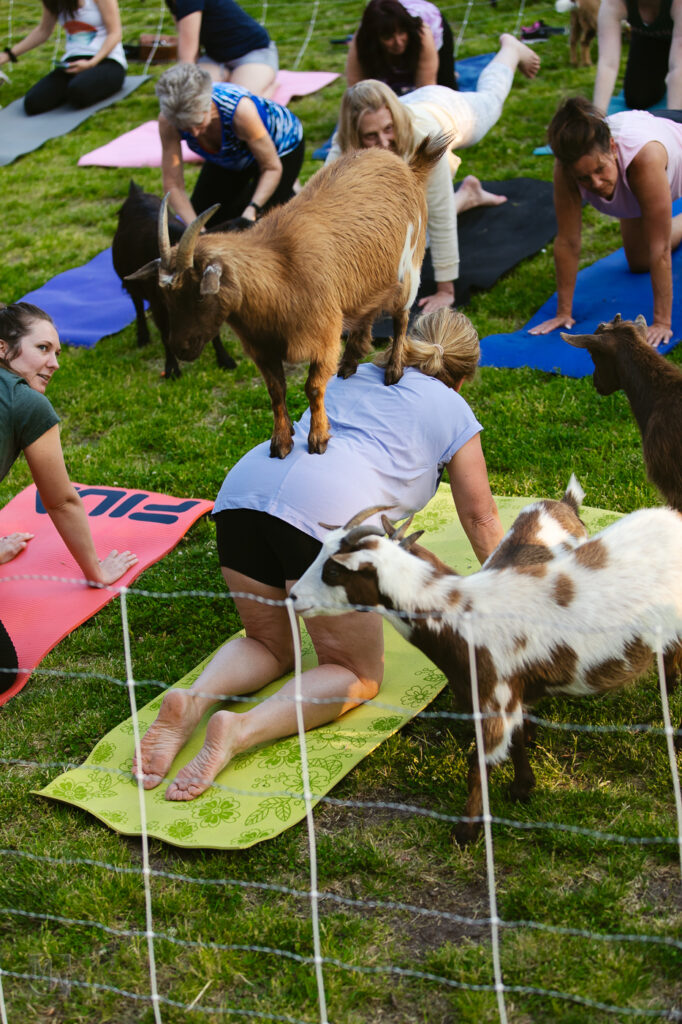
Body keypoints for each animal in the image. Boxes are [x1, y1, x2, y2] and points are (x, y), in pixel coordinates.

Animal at [112, 180, 236, 380]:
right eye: (167, 296)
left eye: (200, 295)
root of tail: (135, 193)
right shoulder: (158, 304)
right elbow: (164, 334)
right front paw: (171, 369)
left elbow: (214, 331)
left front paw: (225, 360)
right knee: (137, 303)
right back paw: (143, 337)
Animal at [126, 131, 448, 456]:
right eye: (167, 298)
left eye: (200, 295)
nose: (180, 348)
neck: (281, 273)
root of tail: (409, 166)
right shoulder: (262, 349)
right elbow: (275, 391)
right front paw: (280, 441)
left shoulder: (324, 338)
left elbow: (313, 387)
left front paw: (318, 439)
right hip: (365, 283)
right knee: (366, 315)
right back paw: (349, 364)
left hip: (409, 268)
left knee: (401, 318)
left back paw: (393, 370)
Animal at [290, 483, 679, 843]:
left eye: (333, 571)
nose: (292, 596)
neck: (460, 614)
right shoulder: (506, 695)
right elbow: (517, 740)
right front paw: (522, 789)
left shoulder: (495, 695)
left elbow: (477, 764)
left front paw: (466, 832)